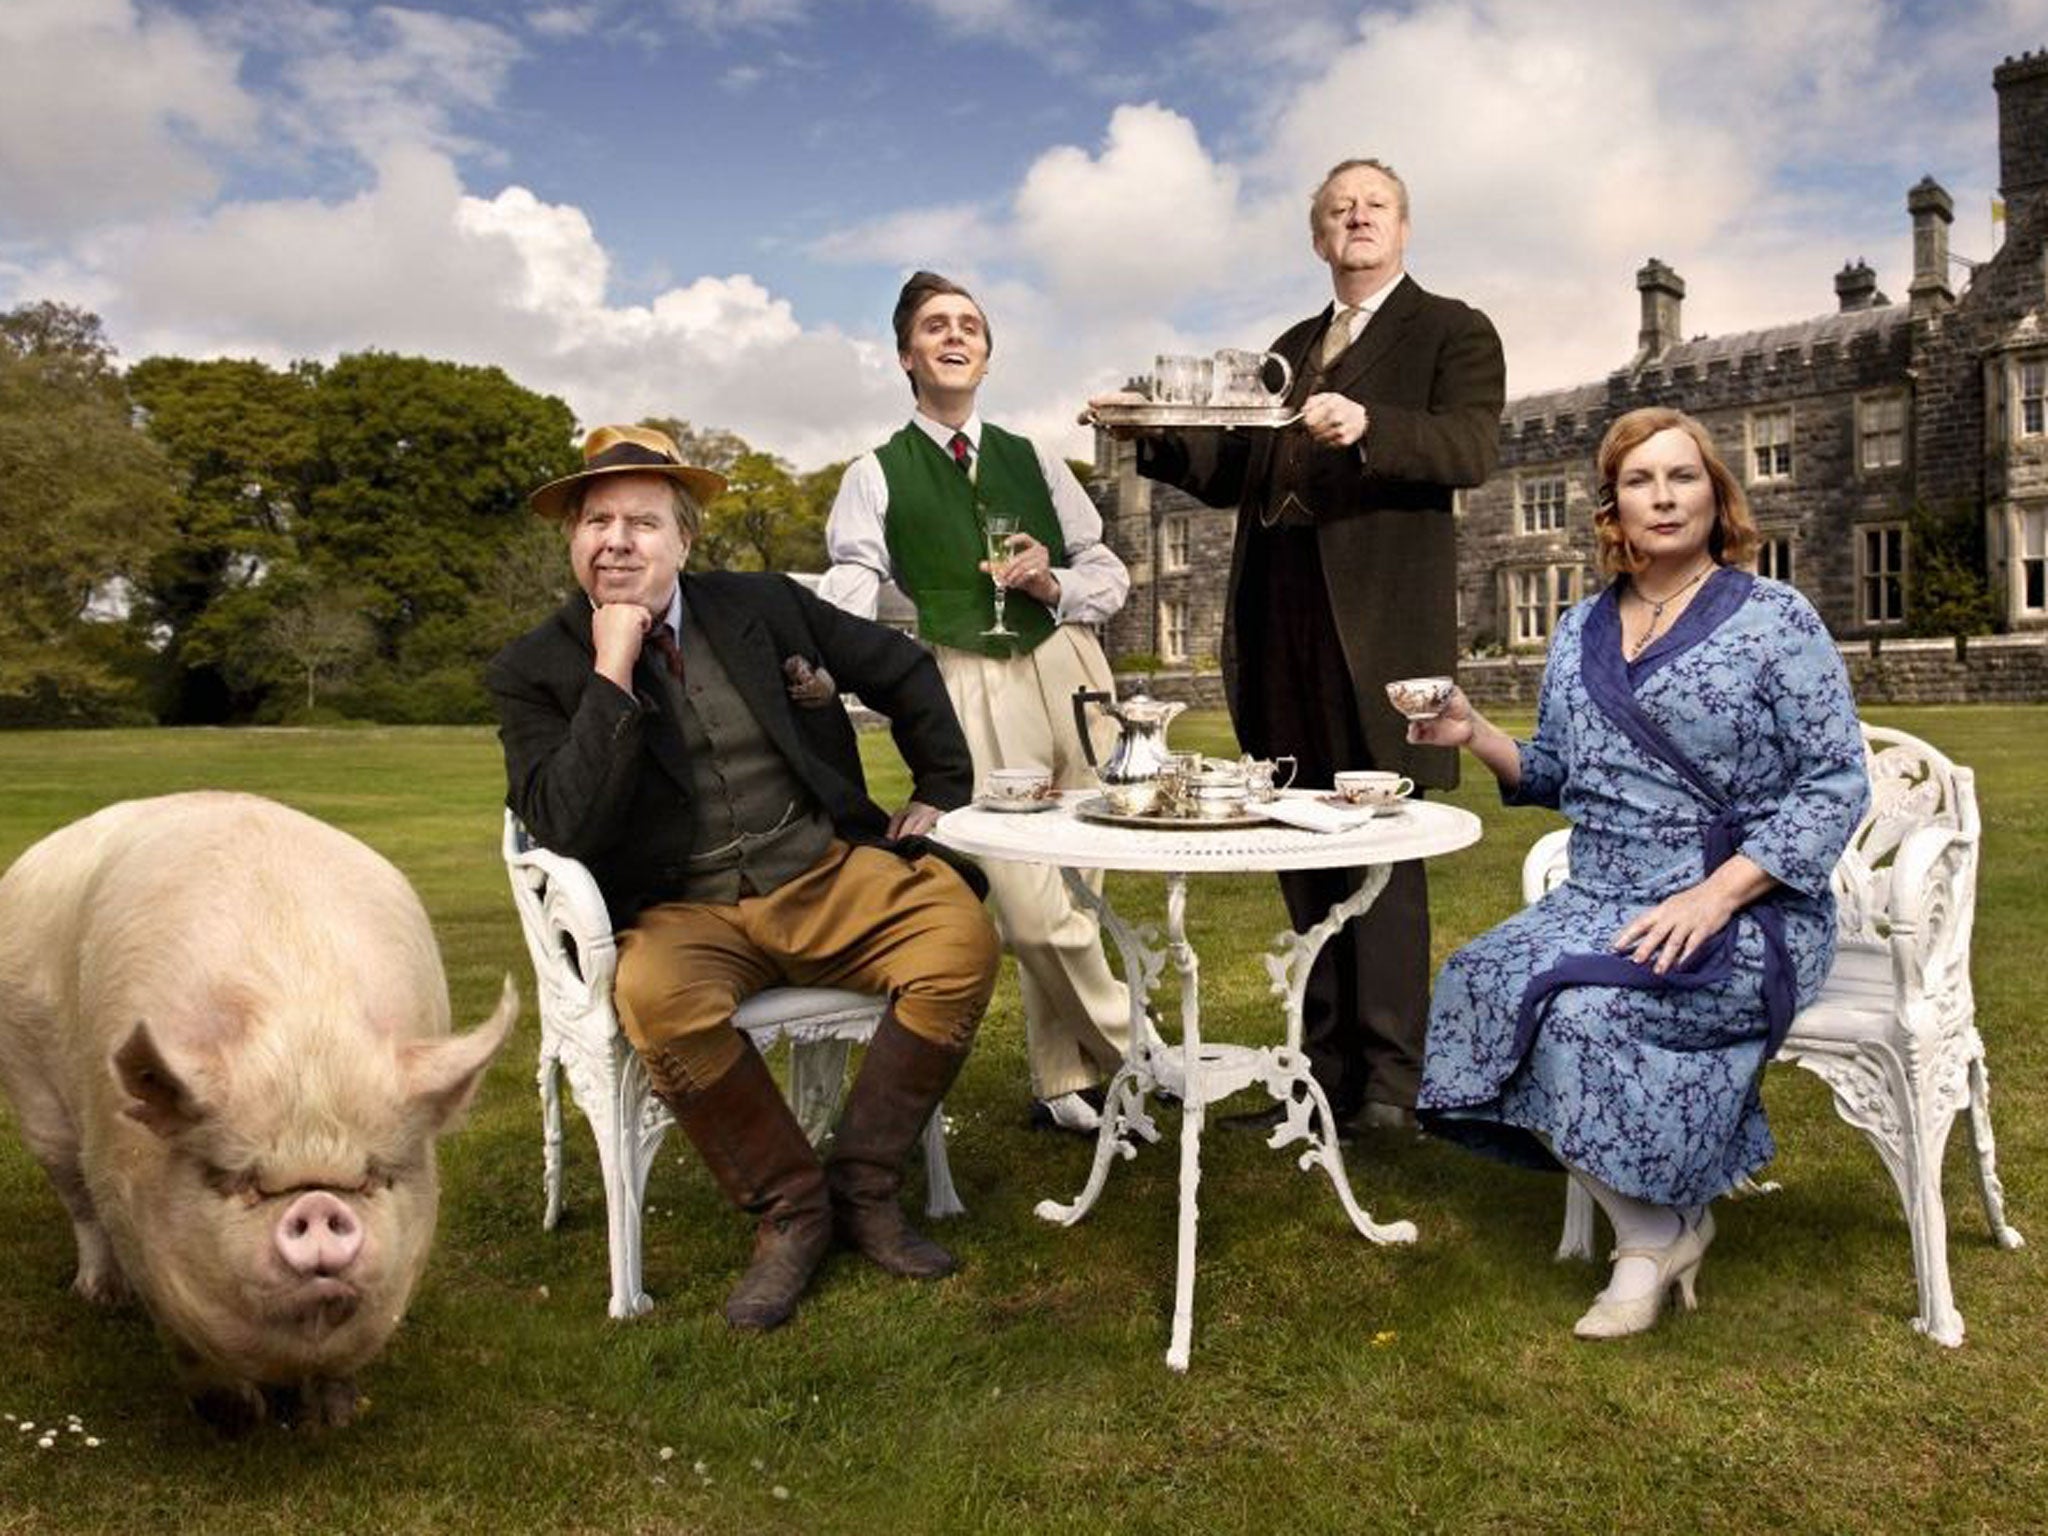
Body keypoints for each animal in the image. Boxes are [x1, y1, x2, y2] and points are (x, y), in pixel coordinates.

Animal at [0, 798, 512, 1441]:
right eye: (234, 1178)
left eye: (373, 1176)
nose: (317, 1203)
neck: (300, 1042)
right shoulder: (127, 1206)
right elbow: (186, 1343)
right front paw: (237, 1423)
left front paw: (334, 1421)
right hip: (34, 1095)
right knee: (75, 1196)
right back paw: (97, 1296)